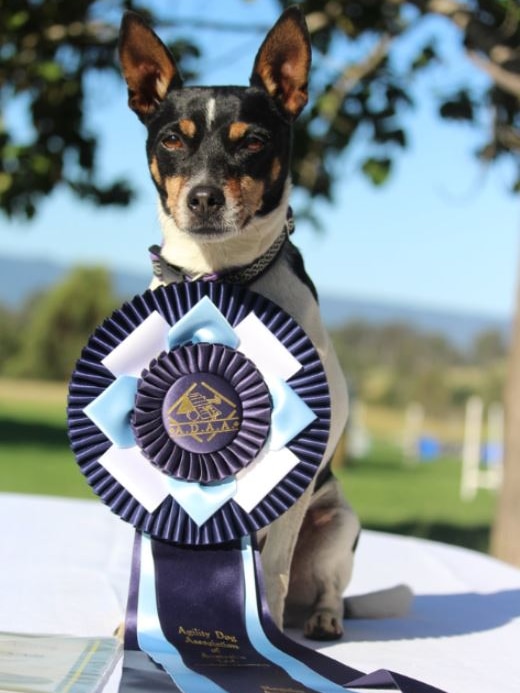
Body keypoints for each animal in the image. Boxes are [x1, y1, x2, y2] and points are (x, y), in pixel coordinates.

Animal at [118, 5, 362, 640]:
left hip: (338, 524)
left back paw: (321, 621)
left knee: (323, 587)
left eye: (252, 141)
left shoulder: (297, 469)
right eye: (172, 139)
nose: (203, 198)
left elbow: (271, 570)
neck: (219, 278)